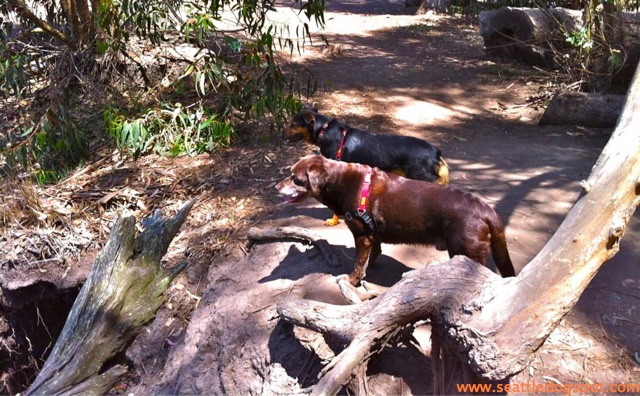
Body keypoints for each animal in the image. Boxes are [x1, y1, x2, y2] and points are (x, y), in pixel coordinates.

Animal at [276, 153, 516, 286]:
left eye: (295, 178)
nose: (275, 187)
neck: (342, 181)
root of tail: (486, 210)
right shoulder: (372, 234)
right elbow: (373, 254)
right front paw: (369, 269)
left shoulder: (362, 235)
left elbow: (358, 262)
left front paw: (353, 280)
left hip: (468, 253)